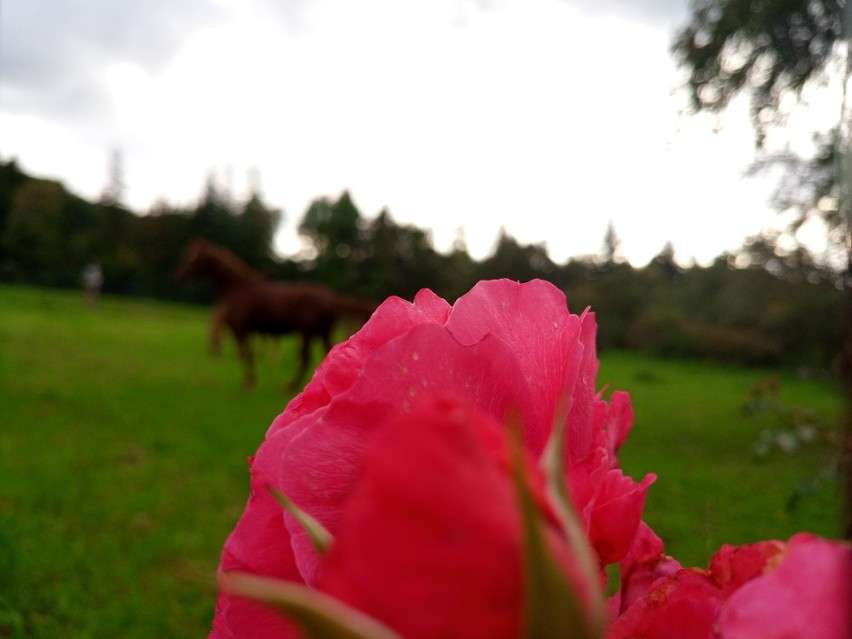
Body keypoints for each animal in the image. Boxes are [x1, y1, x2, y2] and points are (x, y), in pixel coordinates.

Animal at [176, 238, 376, 390]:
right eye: (188, 254)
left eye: (197, 258)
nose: (179, 274)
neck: (239, 289)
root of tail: (331, 297)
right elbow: (248, 354)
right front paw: (250, 381)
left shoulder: (241, 329)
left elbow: (247, 355)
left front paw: (249, 383)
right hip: (320, 333)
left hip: (308, 333)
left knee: (306, 358)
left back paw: (290, 386)